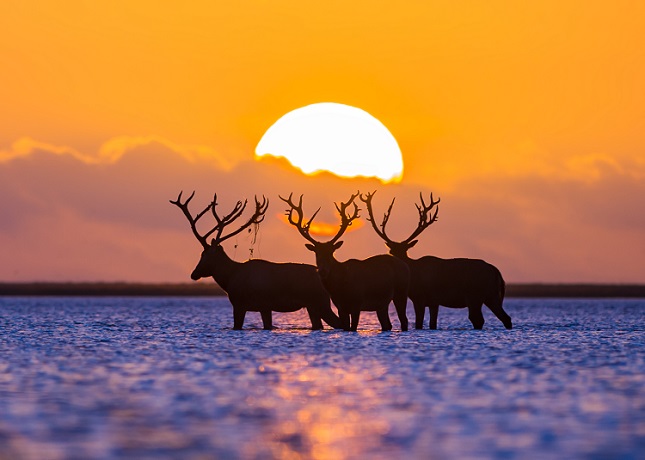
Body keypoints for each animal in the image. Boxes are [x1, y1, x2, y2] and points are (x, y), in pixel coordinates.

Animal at [170, 191, 342, 330]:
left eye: (205, 255)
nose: (194, 274)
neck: (230, 278)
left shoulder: (249, 304)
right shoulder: (258, 306)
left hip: (320, 301)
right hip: (312, 306)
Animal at [280, 192, 408, 332]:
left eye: (331, 252)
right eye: (316, 252)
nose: (323, 270)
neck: (340, 287)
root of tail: (405, 265)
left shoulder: (357, 302)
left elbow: (353, 327)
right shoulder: (340, 307)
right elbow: (346, 326)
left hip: (401, 292)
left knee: (404, 320)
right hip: (382, 304)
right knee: (387, 324)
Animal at [360, 191, 510, 330]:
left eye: (403, 251)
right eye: (391, 251)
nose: (396, 265)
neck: (414, 277)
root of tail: (496, 271)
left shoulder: (426, 298)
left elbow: (423, 324)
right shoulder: (428, 300)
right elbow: (429, 324)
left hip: (475, 295)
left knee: (479, 319)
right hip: (491, 295)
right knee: (504, 317)